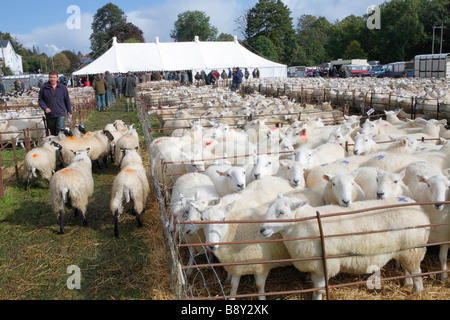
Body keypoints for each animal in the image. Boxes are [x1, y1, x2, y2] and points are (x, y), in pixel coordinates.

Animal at [262, 192, 430, 300]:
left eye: (281, 212)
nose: (261, 229)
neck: (303, 224)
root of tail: (418, 207)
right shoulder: (316, 266)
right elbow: (315, 286)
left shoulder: (325, 264)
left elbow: (319, 288)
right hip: (406, 249)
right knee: (408, 270)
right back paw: (408, 284)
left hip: (414, 248)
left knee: (417, 273)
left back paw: (418, 292)